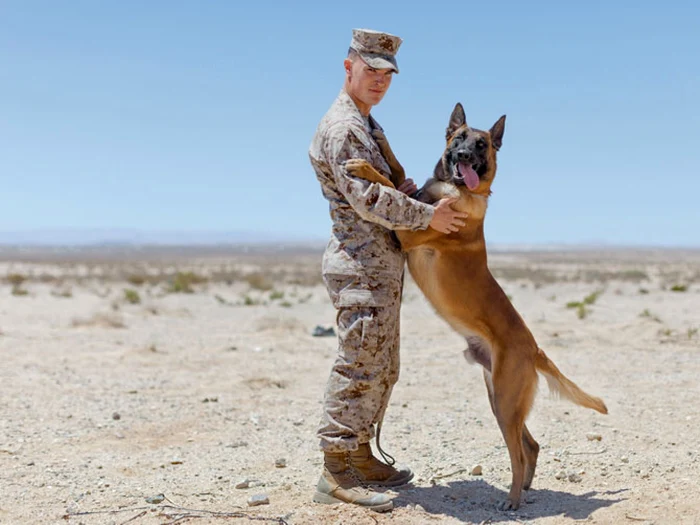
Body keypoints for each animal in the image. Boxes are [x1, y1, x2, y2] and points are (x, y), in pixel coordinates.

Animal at [344, 104, 608, 510]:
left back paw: (512, 499)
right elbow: (398, 173)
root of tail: (535, 348)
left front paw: (362, 165)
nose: (466, 156)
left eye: (481, 144)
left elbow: (387, 183)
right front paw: (381, 140)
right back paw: (525, 489)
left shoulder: (407, 233)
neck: (456, 189)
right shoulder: (414, 197)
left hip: (506, 400)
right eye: (459, 139)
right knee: (532, 445)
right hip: (499, 399)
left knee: (518, 452)